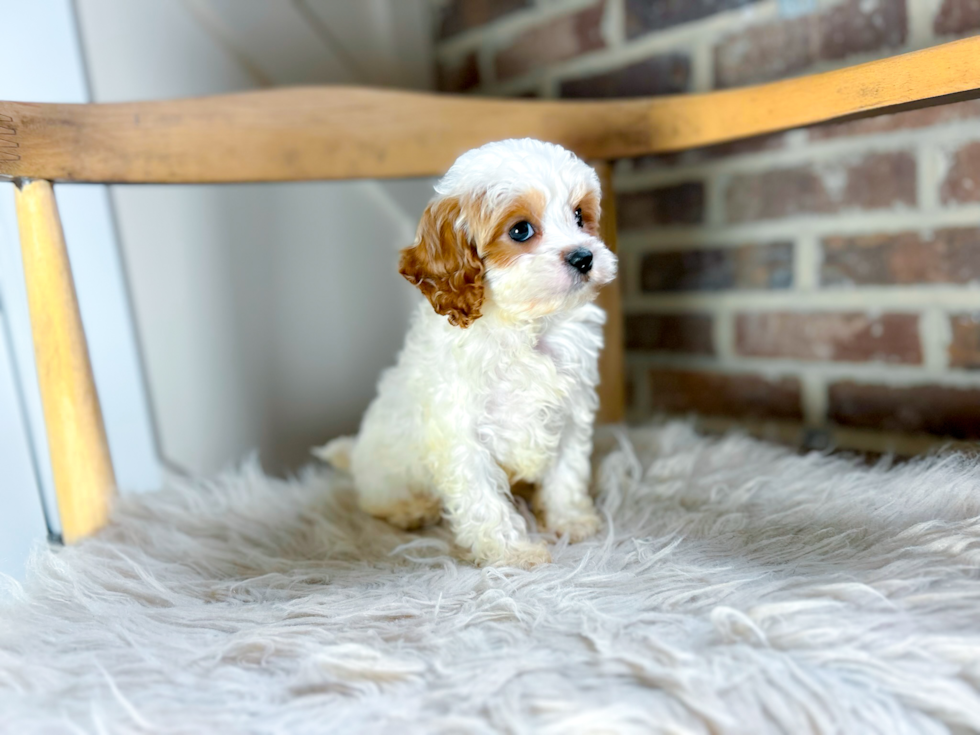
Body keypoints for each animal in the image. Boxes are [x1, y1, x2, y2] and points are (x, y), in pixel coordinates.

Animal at [318, 138, 616, 568]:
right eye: (521, 230)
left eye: (579, 215)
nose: (584, 257)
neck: (525, 326)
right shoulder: (461, 433)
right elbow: (485, 501)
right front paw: (513, 552)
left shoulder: (571, 413)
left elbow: (566, 473)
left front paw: (571, 521)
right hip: (385, 474)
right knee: (377, 500)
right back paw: (410, 509)